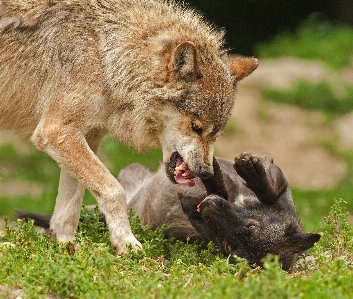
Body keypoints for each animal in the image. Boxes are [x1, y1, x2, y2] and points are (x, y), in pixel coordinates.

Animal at [0, 0, 256, 253]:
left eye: (216, 134)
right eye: (196, 127)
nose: (206, 172)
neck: (109, 58)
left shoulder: (86, 136)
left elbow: (70, 206)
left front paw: (66, 247)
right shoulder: (56, 132)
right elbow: (113, 190)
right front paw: (126, 242)